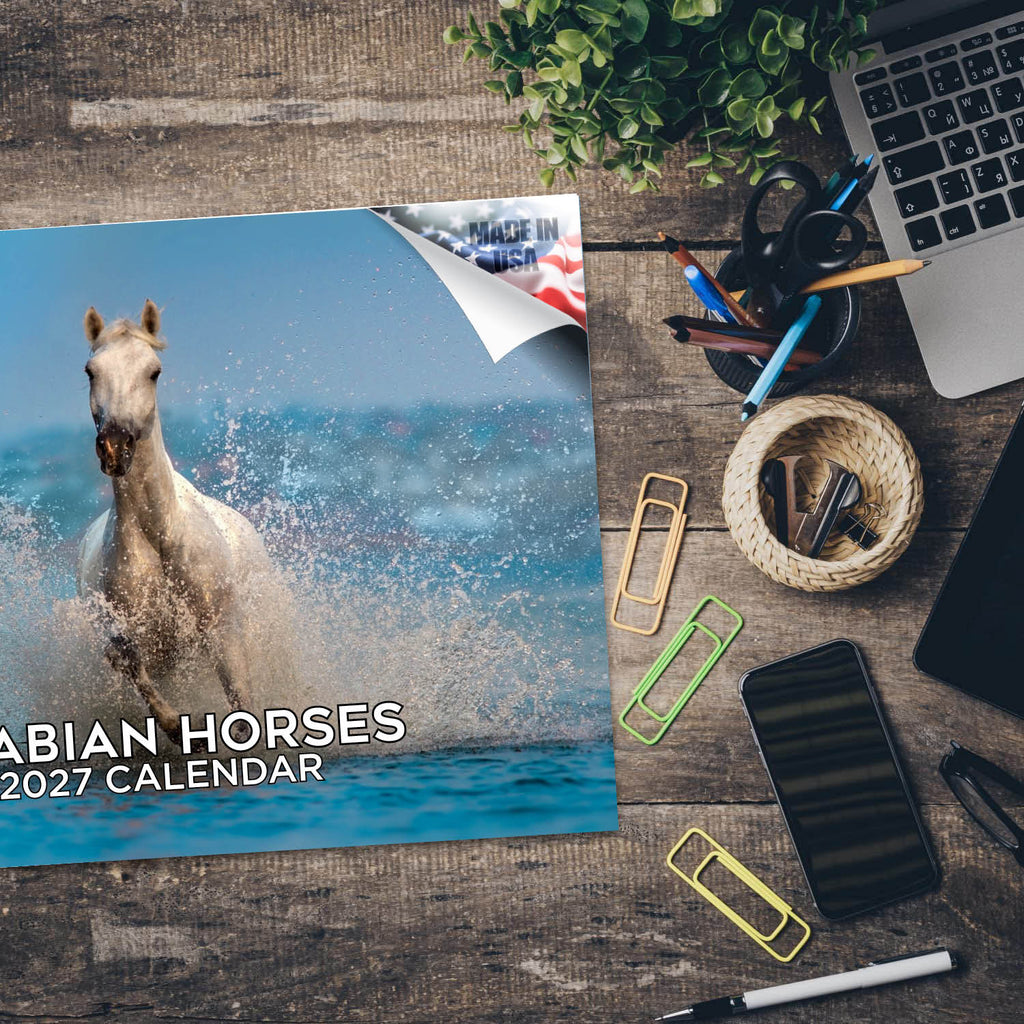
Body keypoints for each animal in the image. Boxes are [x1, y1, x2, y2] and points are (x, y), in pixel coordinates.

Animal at [76, 300, 282, 748]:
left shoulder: (222, 629)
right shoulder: (131, 635)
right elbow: (128, 662)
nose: (115, 447)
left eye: (154, 371)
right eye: (90, 371)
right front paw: (179, 729)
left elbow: (241, 702)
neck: (159, 538)